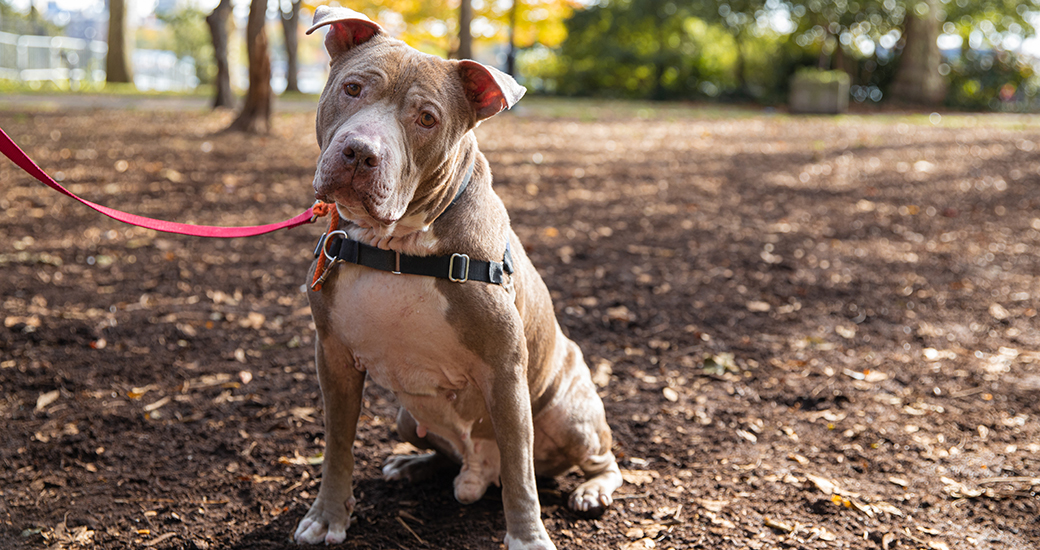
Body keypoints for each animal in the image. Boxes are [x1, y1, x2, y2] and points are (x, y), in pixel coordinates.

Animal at [289, 6, 619, 544]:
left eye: (427, 119)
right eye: (353, 88)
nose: (360, 152)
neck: (397, 246)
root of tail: (477, 473)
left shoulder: (504, 371)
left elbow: (521, 471)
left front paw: (528, 538)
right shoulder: (333, 357)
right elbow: (337, 445)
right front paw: (327, 516)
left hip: (569, 412)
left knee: (593, 457)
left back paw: (593, 489)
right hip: (406, 416)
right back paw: (413, 465)